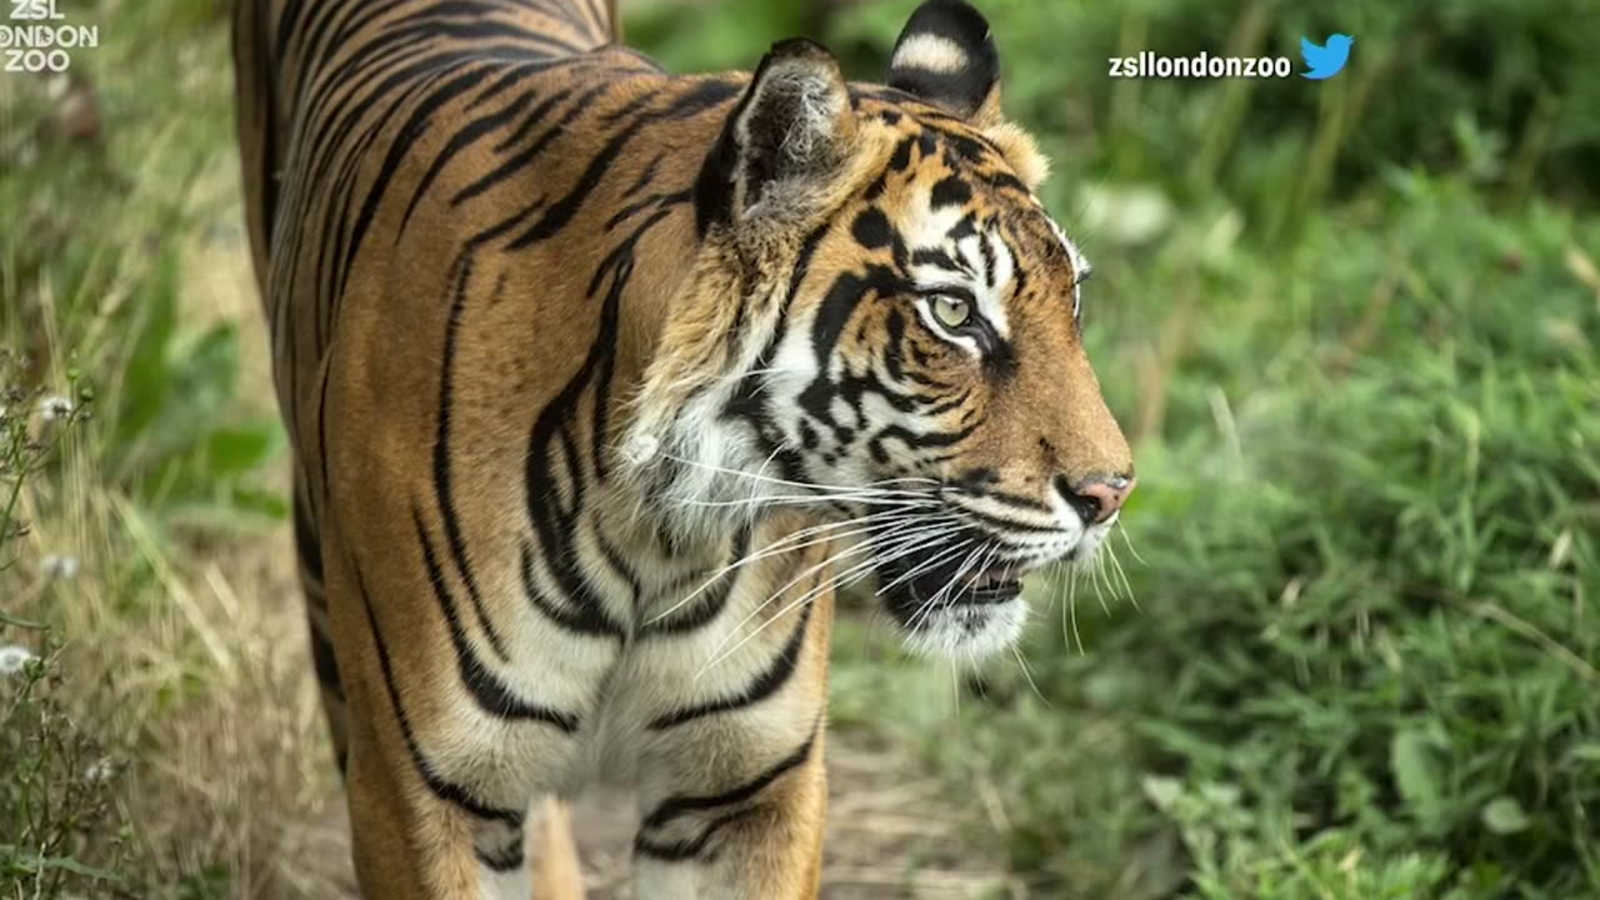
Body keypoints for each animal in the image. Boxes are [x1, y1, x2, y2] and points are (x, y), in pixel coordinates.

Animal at [230, 0, 1136, 896]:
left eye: (1074, 299)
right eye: (952, 312)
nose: (1110, 494)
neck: (656, 532)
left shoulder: (746, 788)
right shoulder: (422, 791)